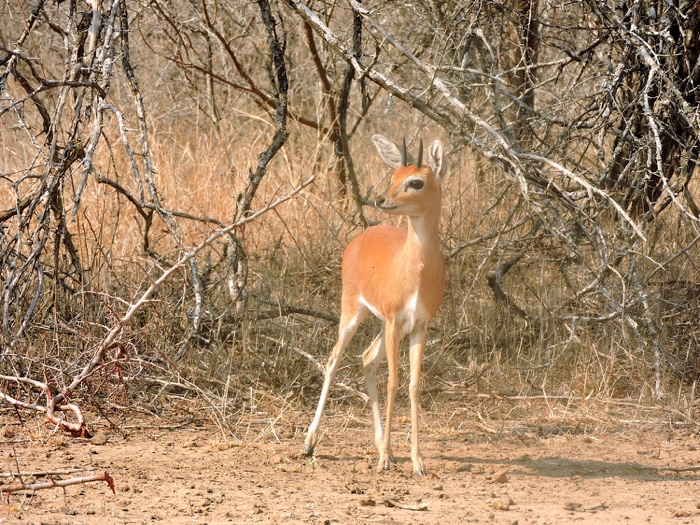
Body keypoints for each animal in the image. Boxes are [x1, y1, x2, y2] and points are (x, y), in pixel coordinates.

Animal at [304, 134, 448, 474]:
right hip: (353, 313)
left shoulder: (419, 325)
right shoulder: (396, 321)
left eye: (416, 181)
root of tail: (362, 236)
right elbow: (394, 383)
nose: (383, 200)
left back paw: (384, 445)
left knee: (368, 359)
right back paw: (310, 442)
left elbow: (413, 386)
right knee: (333, 360)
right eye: (393, 176)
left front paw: (417, 461)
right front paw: (384, 459)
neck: (416, 271)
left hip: (384, 325)